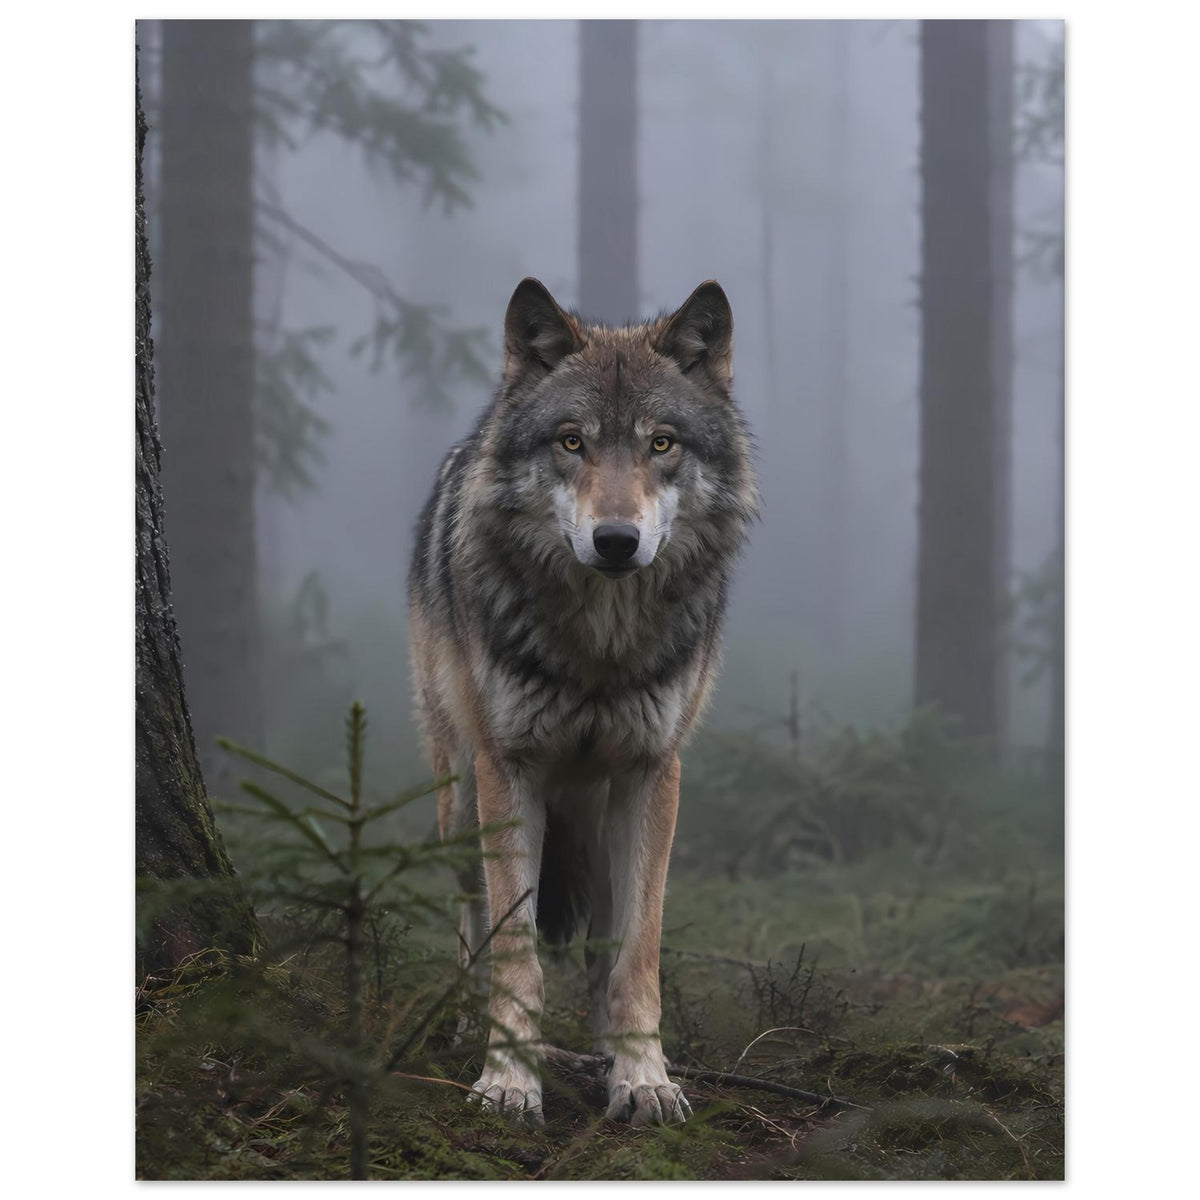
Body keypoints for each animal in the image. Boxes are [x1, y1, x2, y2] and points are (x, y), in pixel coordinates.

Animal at [408, 277, 758, 1126]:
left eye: (662, 444)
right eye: (572, 443)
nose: (616, 541)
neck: (601, 646)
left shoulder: (652, 773)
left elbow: (637, 955)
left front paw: (643, 1077)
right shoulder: (510, 770)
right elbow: (516, 953)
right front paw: (507, 1080)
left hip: (597, 819)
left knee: (602, 943)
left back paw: (605, 1053)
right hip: (460, 800)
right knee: (471, 923)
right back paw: (461, 1027)